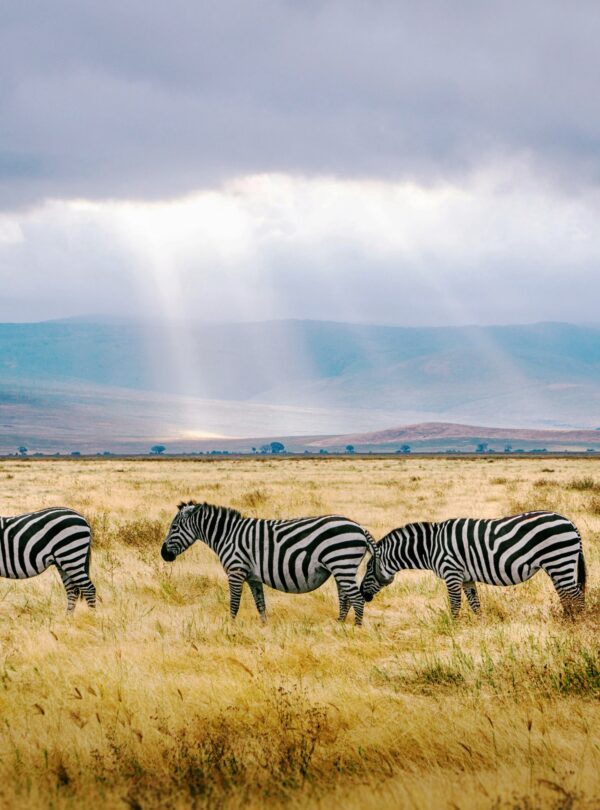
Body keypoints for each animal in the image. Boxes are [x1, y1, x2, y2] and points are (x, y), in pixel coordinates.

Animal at [161, 501, 379, 625]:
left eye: (174, 527)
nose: (163, 554)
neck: (227, 535)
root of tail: (359, 527)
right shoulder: (253, 577)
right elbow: (260, 604)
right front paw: (264, 628)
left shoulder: (236, 571)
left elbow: (234, 602)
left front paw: (230, 627)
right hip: (341, 567)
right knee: (345, 597)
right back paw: (339, 625)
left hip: (341, 563)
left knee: (356, 598)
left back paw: (355, 629)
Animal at [360, 511, 586, 617]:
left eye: (368, 568)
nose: (362, 594)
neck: (431, 547)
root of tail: (570, 522)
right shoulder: (466, 578)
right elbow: (475, 605)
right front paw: (479, 628)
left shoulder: (451, 573)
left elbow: (455, 605)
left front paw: (453, 629)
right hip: (559, 565)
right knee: (566, 595)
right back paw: (568, 620)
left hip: (559, 560)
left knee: (575, 595)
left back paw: (577, 625)